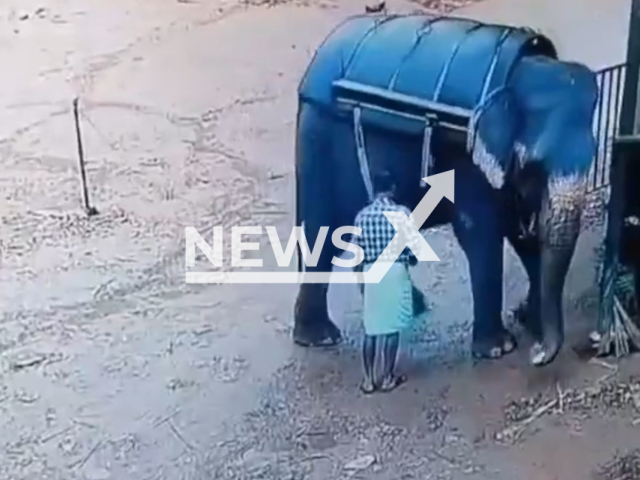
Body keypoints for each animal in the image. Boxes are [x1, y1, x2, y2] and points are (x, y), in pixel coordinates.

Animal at [290, 15, 600, 368]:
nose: (537, 354)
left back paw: (410, 307)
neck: (515, 77)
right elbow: (479, 230)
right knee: (321, 233)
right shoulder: (466, 154)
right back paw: (321, 337)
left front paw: (527, 321)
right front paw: (499, 349)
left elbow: (519, 231)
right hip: (317, 138)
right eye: (533, 164)